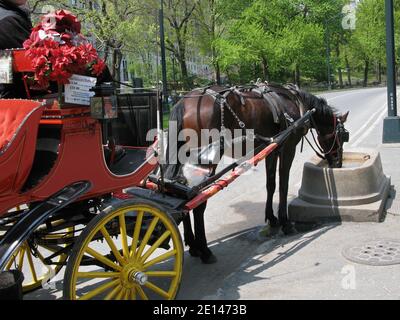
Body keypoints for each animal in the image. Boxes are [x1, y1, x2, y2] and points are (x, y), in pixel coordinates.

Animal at [164, 84, 348, 264]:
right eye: (342, 135)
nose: (338, 163)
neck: (295, 102)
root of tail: (184, 102)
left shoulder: (272, 149)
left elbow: (271, 184)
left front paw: (272, 218)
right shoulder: (288, 148)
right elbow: (283, 184)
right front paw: (285, 222)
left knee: (180, 193)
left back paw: (193, 245)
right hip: (205, 160)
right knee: (198, 202)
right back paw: (204, 250)